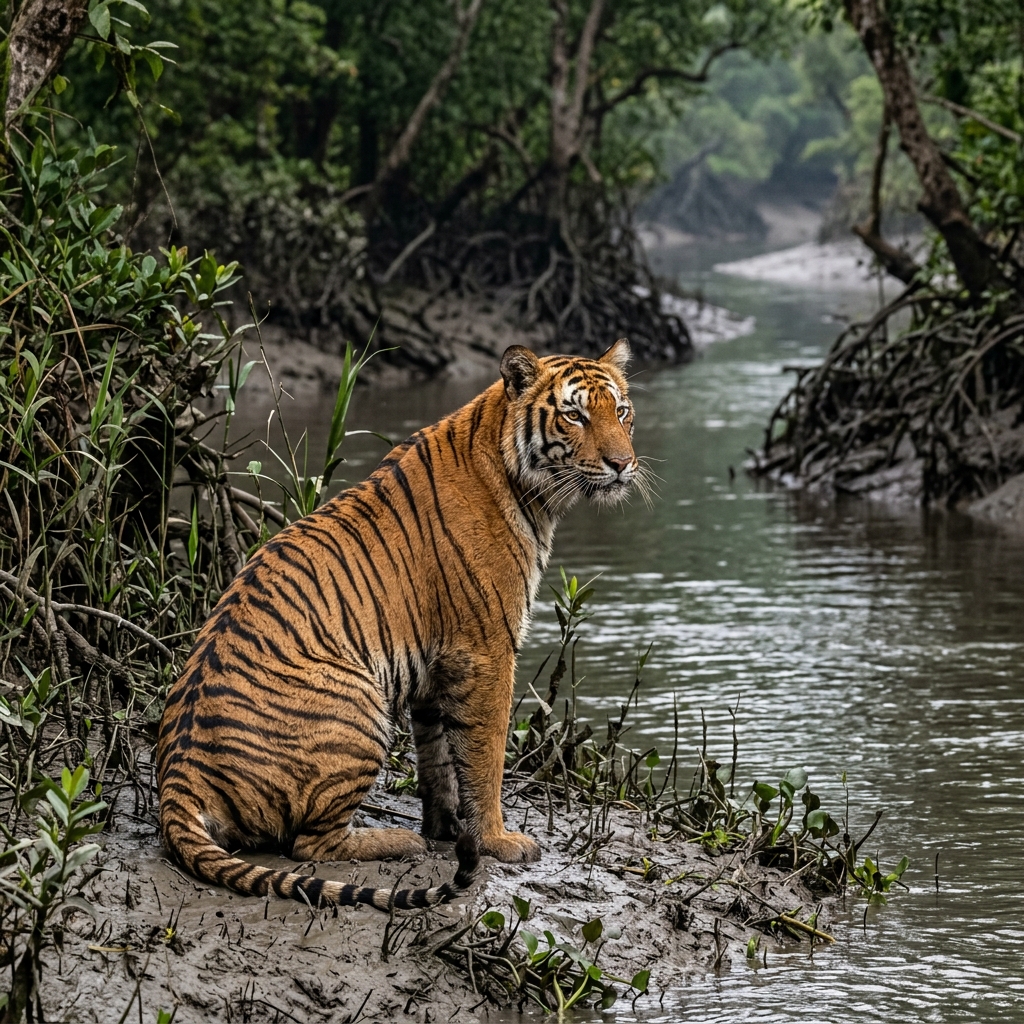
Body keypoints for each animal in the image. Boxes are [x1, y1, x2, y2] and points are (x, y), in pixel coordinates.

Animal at [156, 339, 640, 911]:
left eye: (621, 412)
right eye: (575, 415)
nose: (623, 464)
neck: (527, 489)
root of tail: (177, 779)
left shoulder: (437, 665)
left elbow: (439, 758)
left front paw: (449, 829)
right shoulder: (488, 651)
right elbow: (486, 754)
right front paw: (497, 840)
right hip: (360, 704)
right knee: (307, 845)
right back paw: (395, 840)